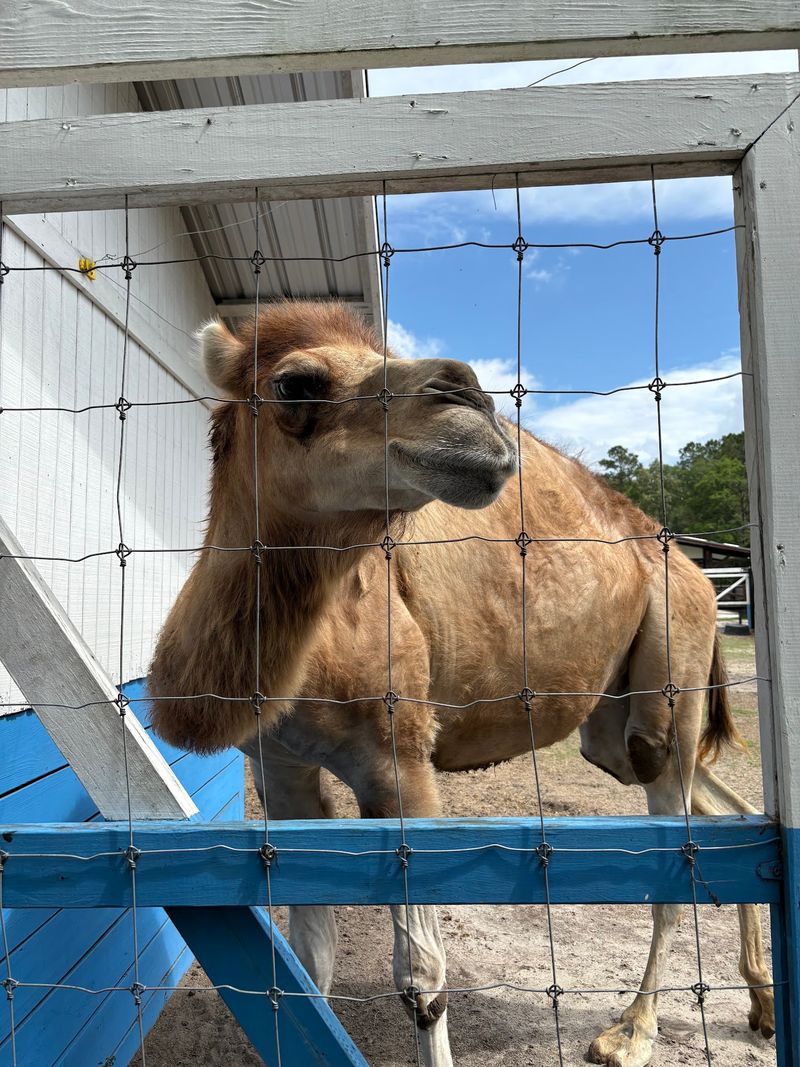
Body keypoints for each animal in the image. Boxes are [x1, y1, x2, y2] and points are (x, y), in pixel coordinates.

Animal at [149, 300, 773, 1067]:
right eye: (295, 384)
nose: (468, 400)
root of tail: (698, 572)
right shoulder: (279, 768)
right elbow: (310, 958)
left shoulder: (401, 758)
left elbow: (422, 977)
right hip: (613, 726)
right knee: (723, 813)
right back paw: (759, 1001)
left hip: (670, 675)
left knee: (674, 837)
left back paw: (631, 1032)